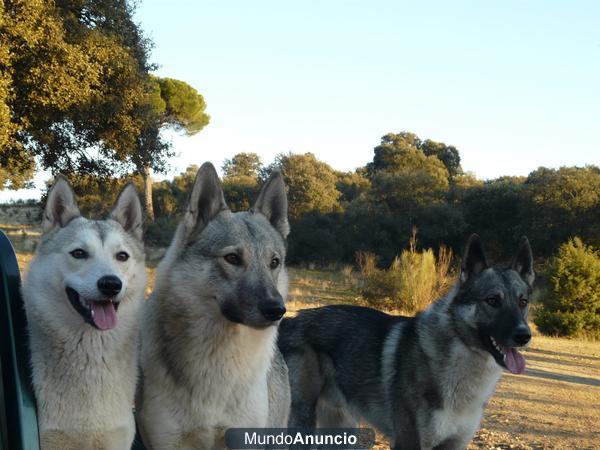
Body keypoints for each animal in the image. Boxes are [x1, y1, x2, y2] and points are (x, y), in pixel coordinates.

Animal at [278, 236, 536, 450]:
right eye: (492, 301)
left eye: (522, 302)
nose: (524, 335)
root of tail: (291, 320)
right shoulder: (408, 442)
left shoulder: (454, 444)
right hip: (301, 423)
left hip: (342, 430)